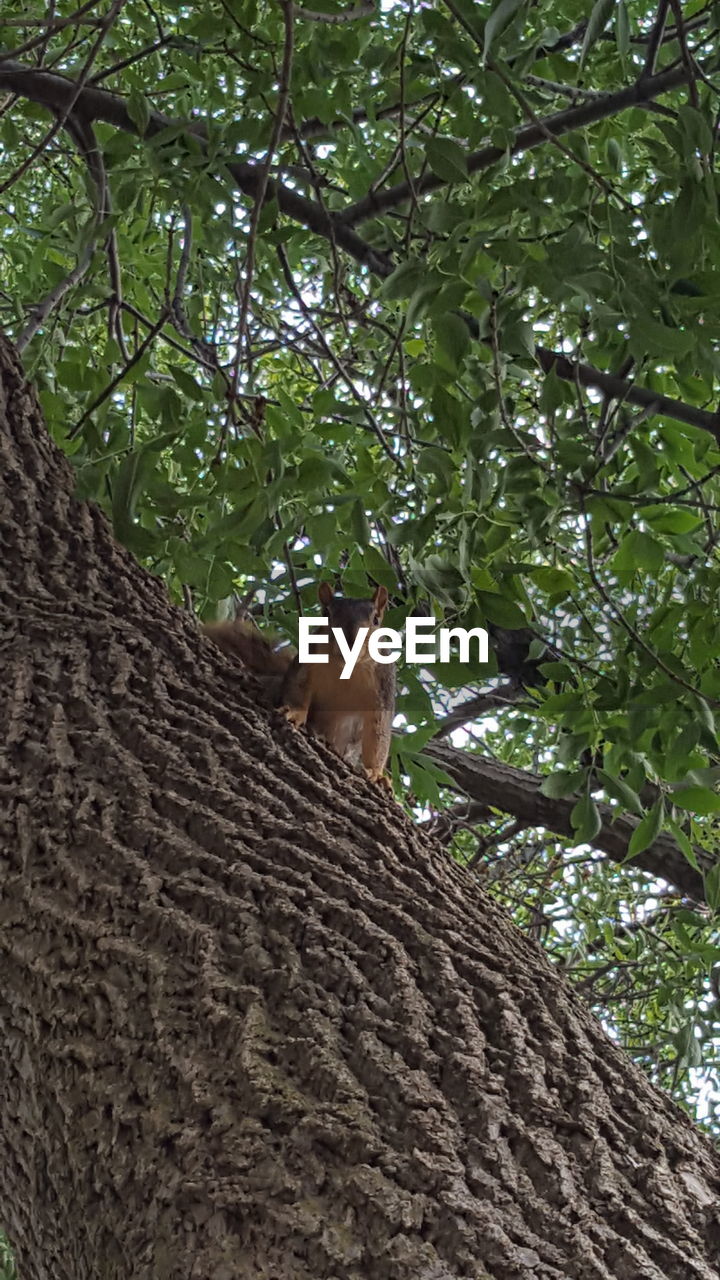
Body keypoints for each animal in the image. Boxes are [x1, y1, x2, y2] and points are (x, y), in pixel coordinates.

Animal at [199, 583, 392, 783]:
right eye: (326, 613)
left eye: (376, 620)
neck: (346, 668)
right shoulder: (305, 664)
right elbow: (297, 690)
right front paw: (294, 713)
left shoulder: (383, 689)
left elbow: (378, 733)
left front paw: (376, 773)